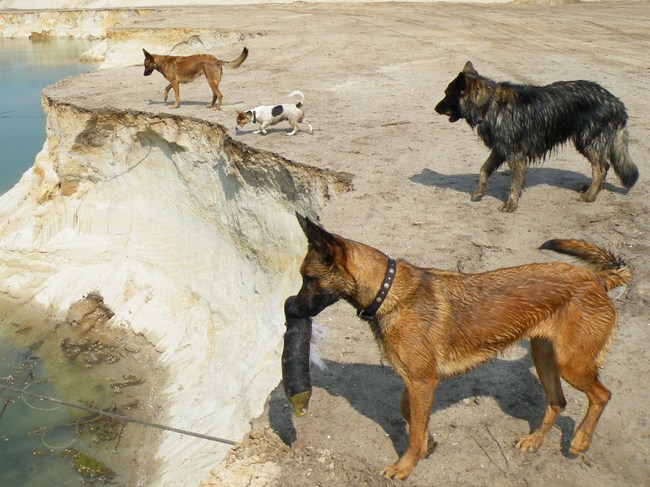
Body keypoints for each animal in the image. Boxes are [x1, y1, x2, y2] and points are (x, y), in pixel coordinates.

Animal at [285, 213, 630, 480]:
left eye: (310, 278)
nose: (291, 308)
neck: (388, 291)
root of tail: (598, 279)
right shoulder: (417, 381)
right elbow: (410, 416)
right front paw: (428, 443)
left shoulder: (423, 381)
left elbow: (413, 429)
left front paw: (405, 466)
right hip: (545, 357)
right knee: (558, 402)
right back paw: (535, 441)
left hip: (572, 365)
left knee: (602, 395)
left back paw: (581, 441)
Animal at [434, 62, 639, 211]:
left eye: (446, 94)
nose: (435, 108)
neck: (489, 103)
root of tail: (615, 101)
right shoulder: (500, 150)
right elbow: (484, 169)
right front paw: (479, 192)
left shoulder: (516, 155)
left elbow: (515, 182)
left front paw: (511, 203)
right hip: (585, 142)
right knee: (604, 166)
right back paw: (592, 189)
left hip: (587, 141)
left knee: (601, 168)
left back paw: (589, 195)